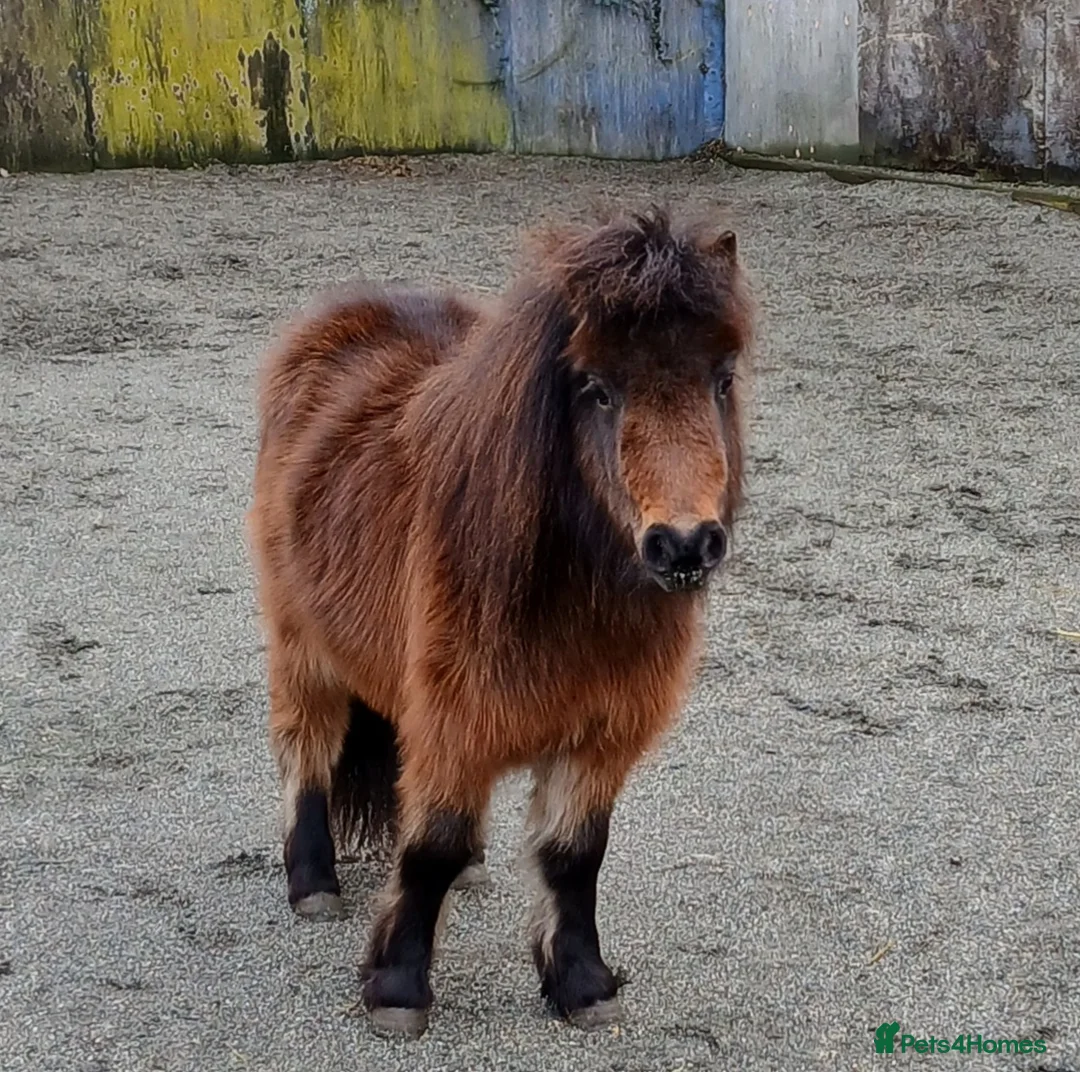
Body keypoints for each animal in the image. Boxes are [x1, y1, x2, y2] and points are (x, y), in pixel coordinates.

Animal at [247, 206, 754, 1038]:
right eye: (597, 390)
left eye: (722, 380)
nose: (684, 544)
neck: (568, 600)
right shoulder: (454, 719)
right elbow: (430, 849)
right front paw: (398, 989)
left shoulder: (598, 736)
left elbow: (575, 857)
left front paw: (581, 984)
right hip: (302, 645)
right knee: (307, 749)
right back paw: (312, 882)